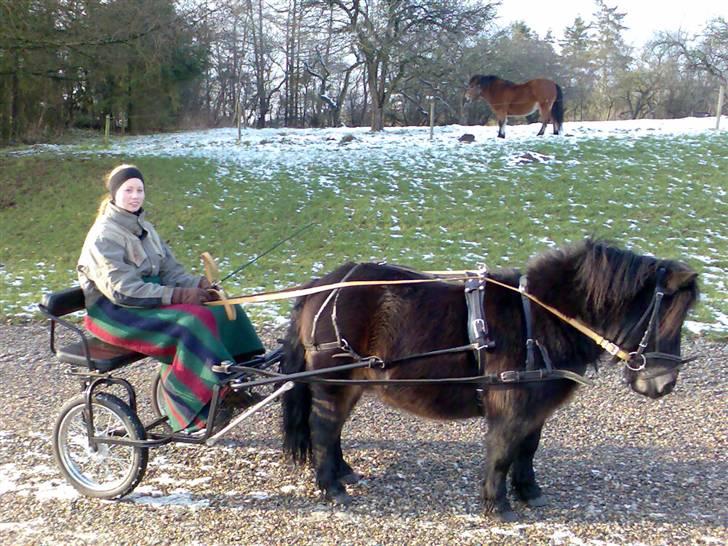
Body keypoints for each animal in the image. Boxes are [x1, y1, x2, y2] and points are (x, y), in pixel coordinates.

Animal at [280, 238, 700, 520]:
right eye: (663, 315)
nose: (665, 384)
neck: (539, 320)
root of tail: (321, 286)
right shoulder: (510, 407)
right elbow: (501, 454)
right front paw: (497, 506)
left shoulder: (535, 408)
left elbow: (527, 450)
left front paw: (529, 491)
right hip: (333, 383)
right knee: (323, 428)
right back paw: (331, 487)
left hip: (350, 383)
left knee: (333, 431)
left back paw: (343, 472)